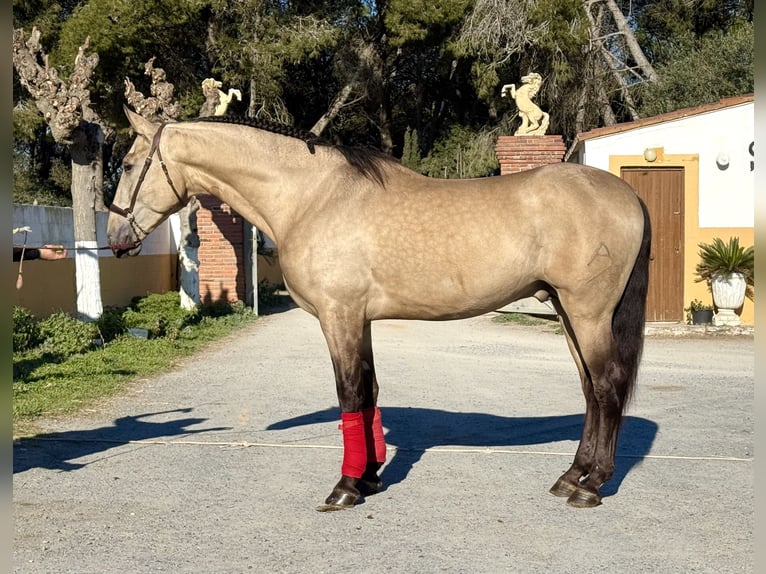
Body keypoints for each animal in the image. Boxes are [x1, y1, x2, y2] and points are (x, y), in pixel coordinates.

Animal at [106, 108, 648, 512]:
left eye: (129, 165)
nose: (116, 238)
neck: (312, 197)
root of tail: (626, 194)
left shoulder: (338, 315)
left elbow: (349, 393)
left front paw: (345, 488)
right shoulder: (358, 320)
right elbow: (367, 392)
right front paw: (368, 477)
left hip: (587, 312)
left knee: (606, 386)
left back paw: (590, 485)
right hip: (568, 311)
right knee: (590, 389)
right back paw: (572, 475)